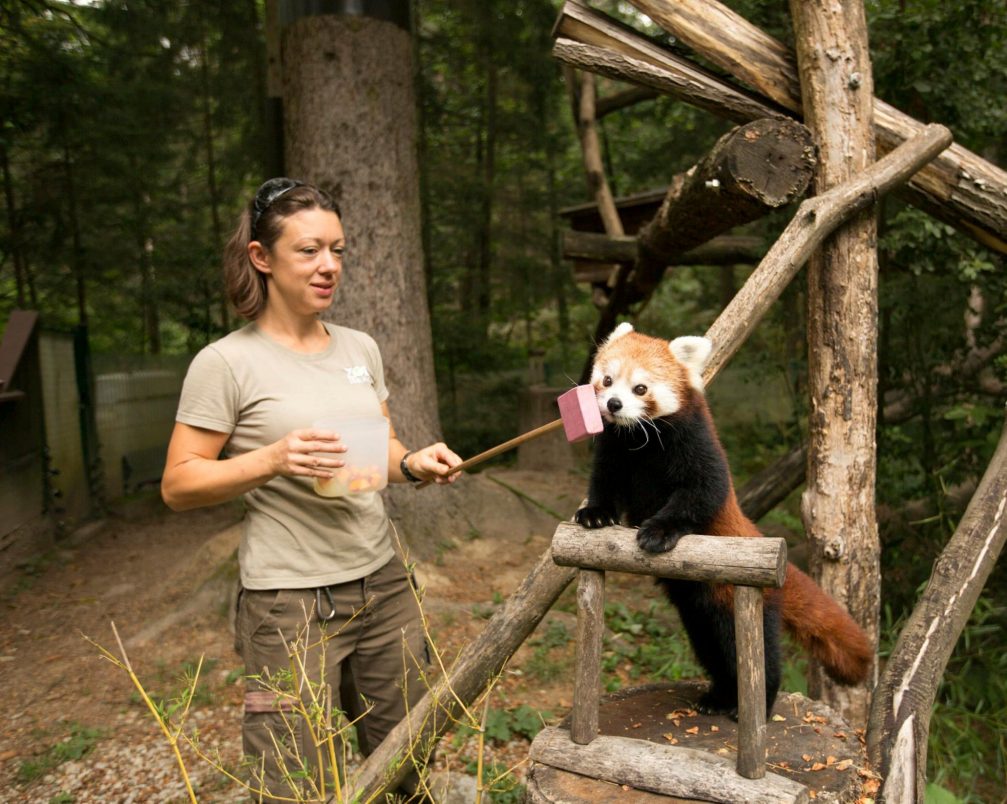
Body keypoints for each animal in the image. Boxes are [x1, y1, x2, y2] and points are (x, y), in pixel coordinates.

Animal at [576, 324, 874, 713]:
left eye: (640, 388)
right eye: (607, 379)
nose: (613, 404)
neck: (639, 441)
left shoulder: (694, 443)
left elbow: (704, 491)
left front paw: (658, 531)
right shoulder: (613, 451)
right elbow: (603, 484)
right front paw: (594, 515)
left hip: (734, 597)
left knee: (750, 648)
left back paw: (758, 699)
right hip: (695, 610)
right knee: (711, 647)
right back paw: (718, 695)